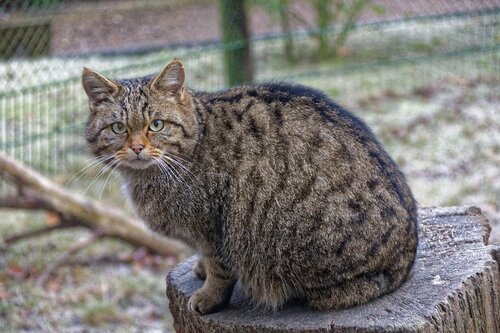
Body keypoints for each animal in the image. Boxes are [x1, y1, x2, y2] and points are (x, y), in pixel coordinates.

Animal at [82, 59, 418, 314]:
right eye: (118, 128)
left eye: (156, 125)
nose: (137, 148)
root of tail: (407, 255)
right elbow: (207, 260)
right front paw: (200, 270)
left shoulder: (217, 226)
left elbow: (220, 269)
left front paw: (208, 296)